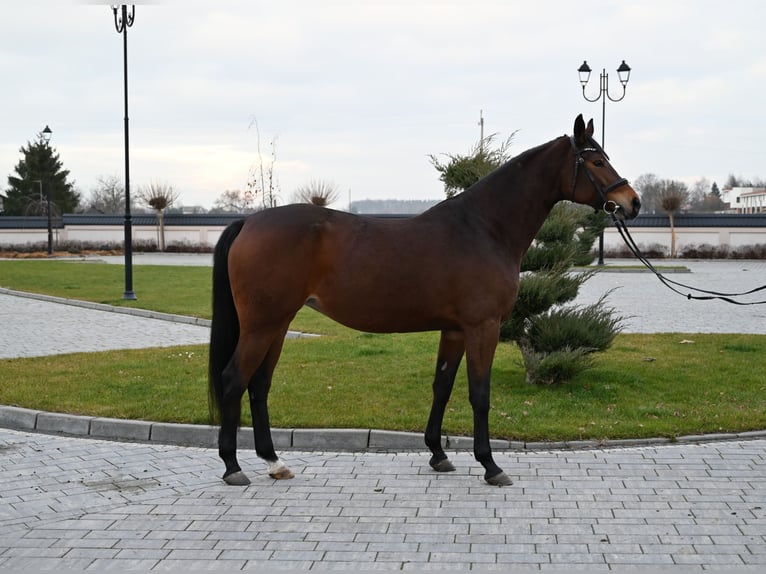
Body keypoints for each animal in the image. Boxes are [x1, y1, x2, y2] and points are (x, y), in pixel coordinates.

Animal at [208, 115, 640, 488]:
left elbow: (442, 386)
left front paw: (438, 454)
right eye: (597, 161)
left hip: (277, 323)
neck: (484, 228)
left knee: (259, 385)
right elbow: (479, 394)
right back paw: (232, 467)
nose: (631, 202)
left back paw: (274, 462)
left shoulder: (455, 329)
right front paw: (490, 465)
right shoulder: (483, 327)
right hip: (262, 325)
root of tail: (249, 222)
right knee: (234, 379)